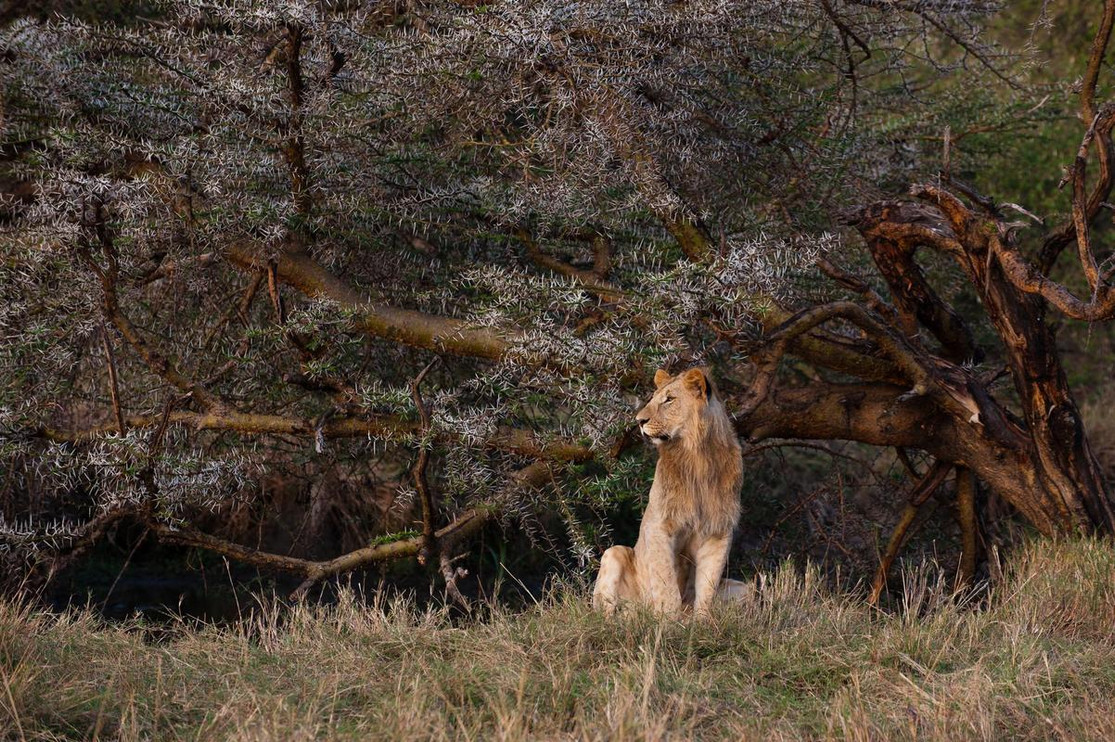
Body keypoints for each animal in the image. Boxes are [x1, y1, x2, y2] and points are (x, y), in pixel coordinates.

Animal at [592, 367, 744, 617]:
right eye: (653, 398)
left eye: (669, 399)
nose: (639, 421)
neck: (697, 457)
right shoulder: (659, 526)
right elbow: (666, 581)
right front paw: (669, 621)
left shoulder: (718, 531)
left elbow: (708, 585)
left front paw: (701, 622)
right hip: (613, 554)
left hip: (744, 588)